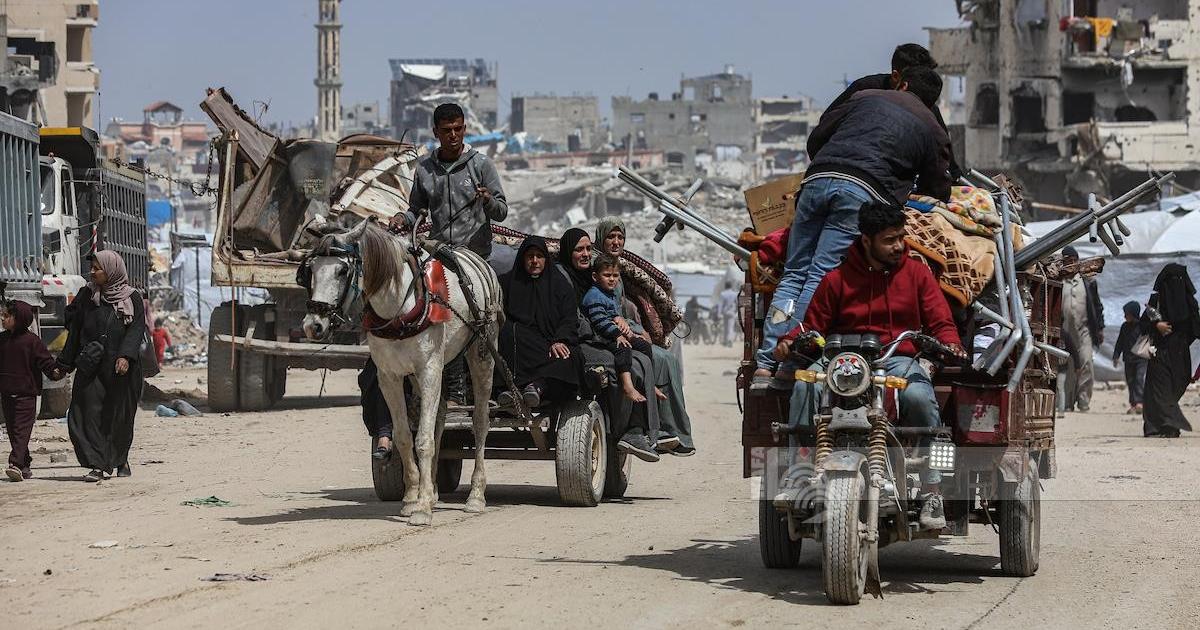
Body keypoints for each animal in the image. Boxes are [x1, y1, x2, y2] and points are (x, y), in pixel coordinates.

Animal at [300, 220, 502, 526]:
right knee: (439, 419)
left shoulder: (429, 368)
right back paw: (432, 491)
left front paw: (421, 510)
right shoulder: (389, 376)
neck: (398, 306)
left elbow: (423, 440)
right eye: (309, 269)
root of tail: (477, 259)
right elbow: (406, 437)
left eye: (342, 270)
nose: (314, 325)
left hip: (481, 353)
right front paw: (412, 499)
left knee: (480, 422)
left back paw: (476, 496)